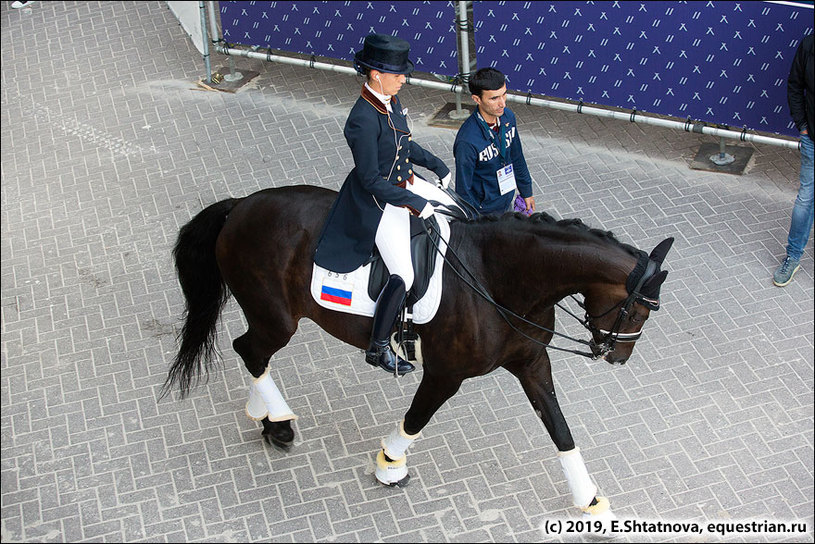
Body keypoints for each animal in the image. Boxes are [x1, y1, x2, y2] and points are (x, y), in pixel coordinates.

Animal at [163, 185, 672, 520]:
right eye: (636, 312)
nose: (618, 357)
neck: (497, 277)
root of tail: (240, 206)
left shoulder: (531, 363)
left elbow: (560, 429)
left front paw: (589, 498)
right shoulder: (446, 374)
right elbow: (417, 418)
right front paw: (390, 463)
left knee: (252, 354)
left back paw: (268, 418)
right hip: (277, 318)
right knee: (249, 350)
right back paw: (278, 420)